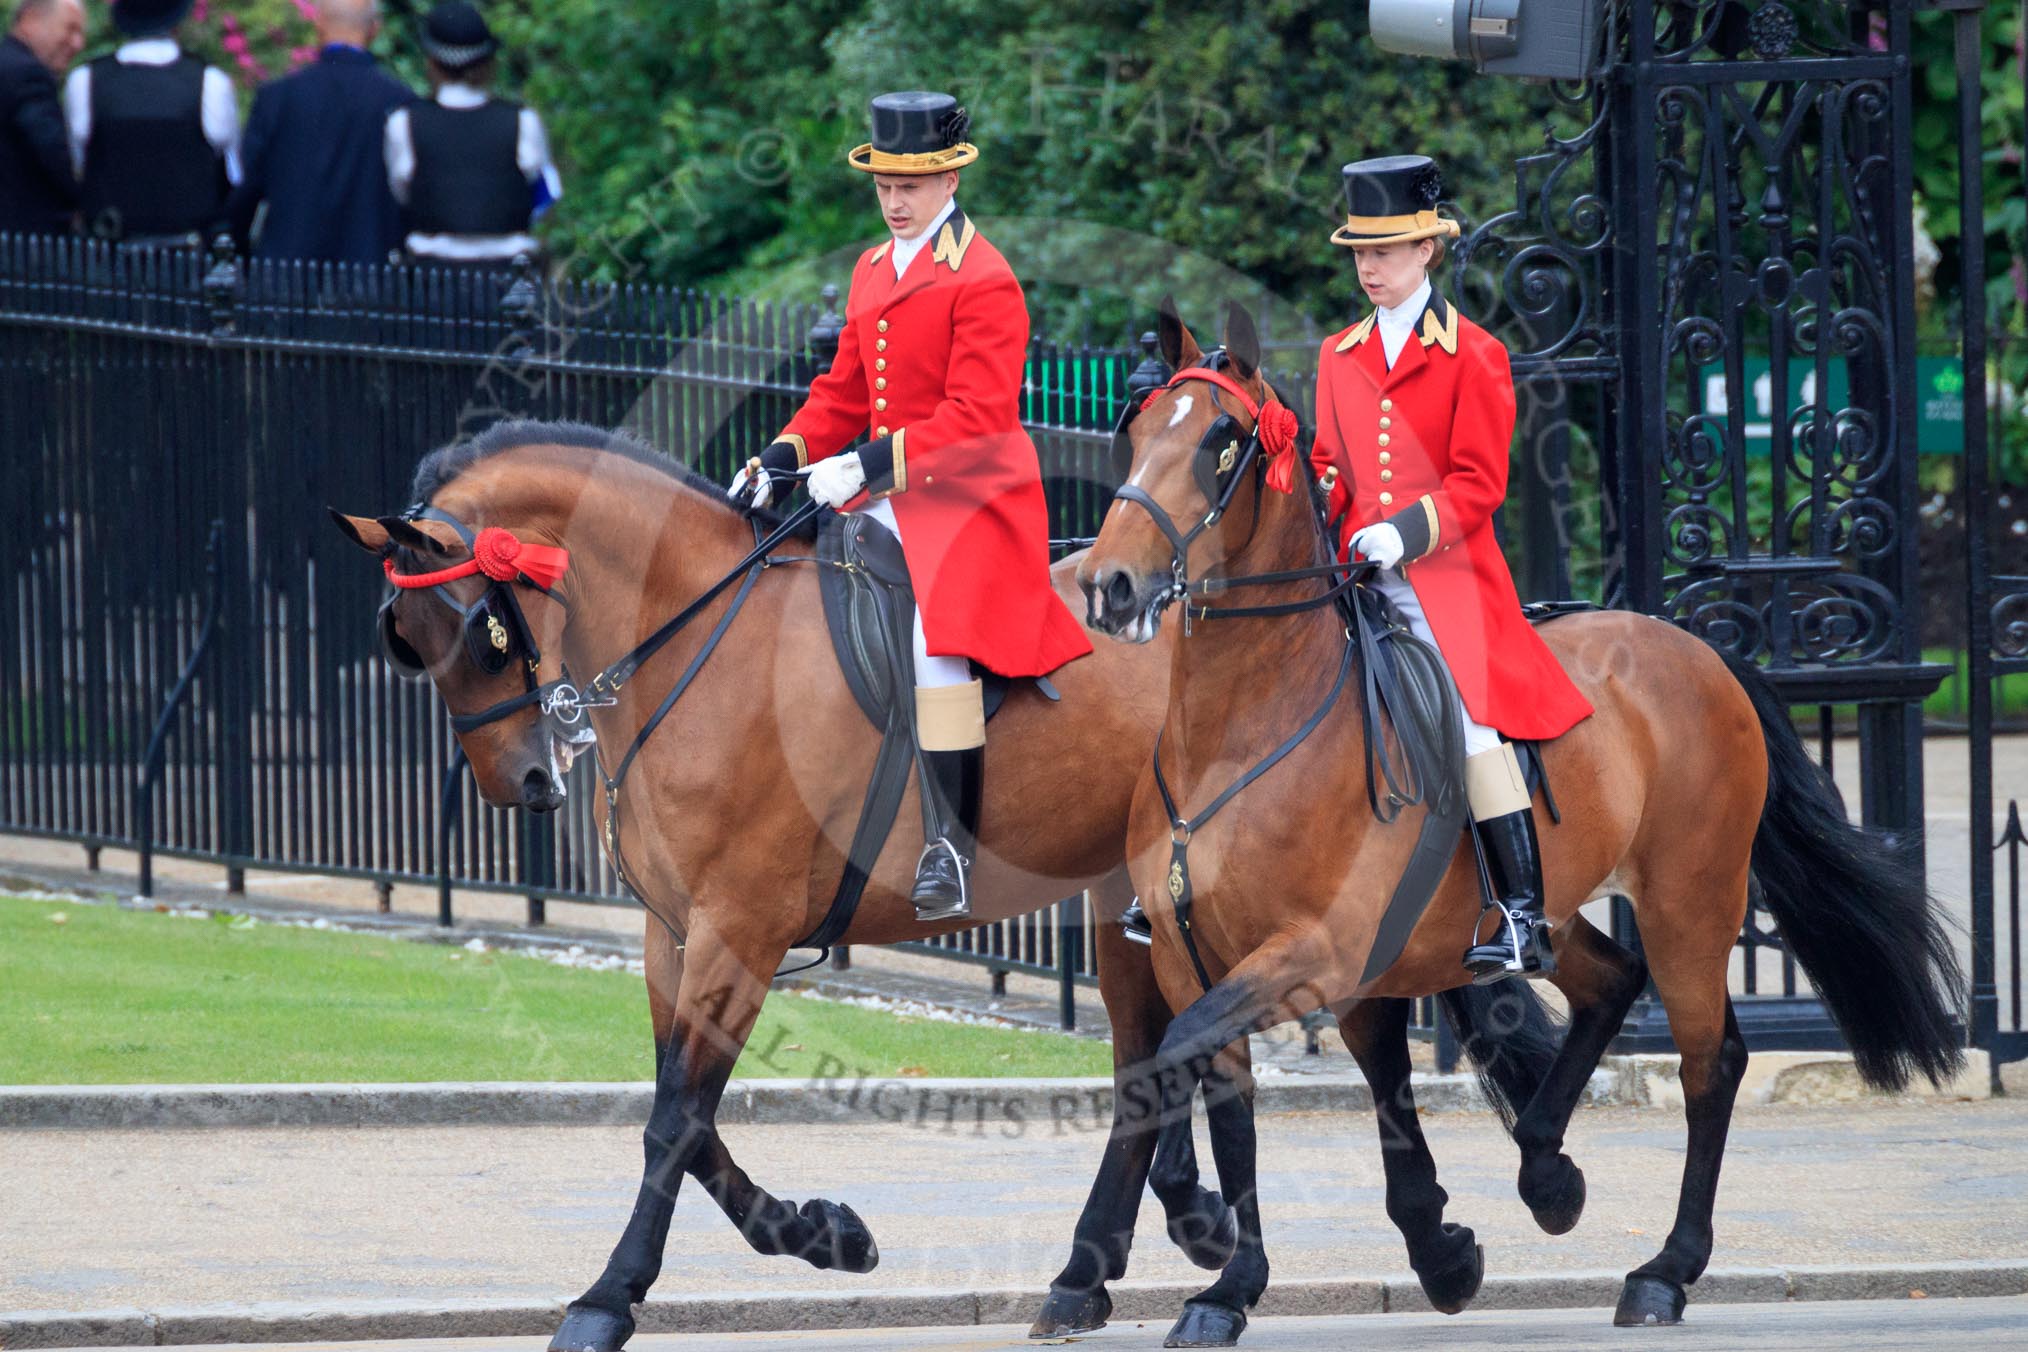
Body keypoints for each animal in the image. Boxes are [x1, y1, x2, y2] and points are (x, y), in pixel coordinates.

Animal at [1071, 301, 1968, 1346]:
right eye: (1137, 429)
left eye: (1220, 442)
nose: (1109, 585)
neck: (1237, 729)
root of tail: (1692, 646)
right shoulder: (1203, 958)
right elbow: (1226, 1094)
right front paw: (1233, 1276)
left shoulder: (1314, 953)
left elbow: (1203, 1058)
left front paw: (1220, 1256)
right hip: (1553, 910)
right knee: (1610, 983)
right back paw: (1547, 1171)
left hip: (1691, 901)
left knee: (1713, 1061)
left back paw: (1665, 1270)